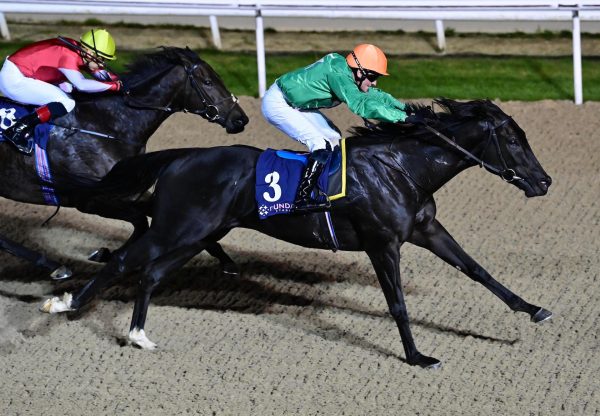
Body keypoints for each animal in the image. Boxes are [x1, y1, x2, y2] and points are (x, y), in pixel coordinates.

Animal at [0, 47, 248, 278]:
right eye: (207, 82)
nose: (240, 119)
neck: (108, 124)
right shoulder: (90, 200)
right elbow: (141, 222)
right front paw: (107, 254)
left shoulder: (130, 191)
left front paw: (227, 262)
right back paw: (55, 266)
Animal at [42, 99, 552, 368]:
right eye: (513, 139)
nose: (544, 182)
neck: (402, 168)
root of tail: (181, 157)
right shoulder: (382, 243)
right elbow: (398, 304)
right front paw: (417, 356)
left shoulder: (425, 229)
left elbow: (478, 271)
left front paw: (533, 310)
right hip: (178, 228)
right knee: (125, 262)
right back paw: (66, 305)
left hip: (196, 234)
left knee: (148, 274)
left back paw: (137, 334)